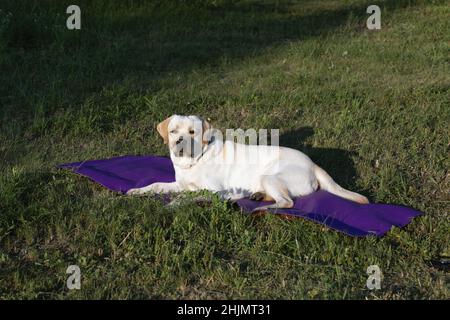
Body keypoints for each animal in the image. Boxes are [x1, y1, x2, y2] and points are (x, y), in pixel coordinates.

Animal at [126, 115, 370, 210]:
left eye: (192, 132)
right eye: (173, 131)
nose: (178, 141)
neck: (195, 160)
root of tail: (313, 164)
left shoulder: (216, 191)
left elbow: (190, 196)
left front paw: (174, 204)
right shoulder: (179, 184)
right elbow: (156, 185)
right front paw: (138, 191)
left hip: (269, 176)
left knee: (287, 202)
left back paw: (264, 206)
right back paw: (258, 196)